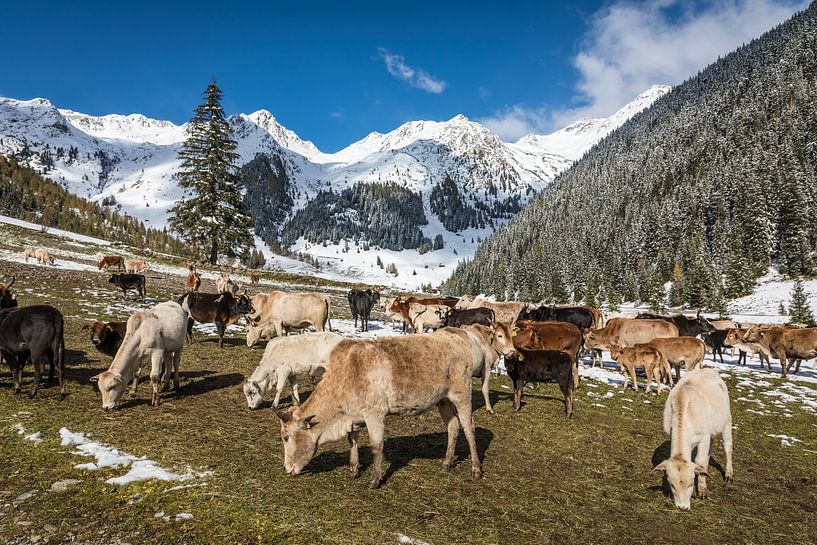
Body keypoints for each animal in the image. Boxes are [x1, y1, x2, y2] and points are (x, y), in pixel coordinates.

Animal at [272, 323, 516, 488]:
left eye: (286, 437)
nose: (286, 468)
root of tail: (458, 337)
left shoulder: (375, 414)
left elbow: (376, 445)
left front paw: (374, 479)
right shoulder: (354, 415)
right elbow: (352, 439)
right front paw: (353, 468)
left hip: (461, 394)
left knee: (468, 426)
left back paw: (476, 469)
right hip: (443, 400)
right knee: (453, 427)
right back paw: (446, 463)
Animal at [653, 368, 733, 510]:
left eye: (691, 484)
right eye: (672, 485)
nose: (682, 507)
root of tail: (707, 369)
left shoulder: (704, 436)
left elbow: (700, 462)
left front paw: (702, 491)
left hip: (727, 421)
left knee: (727, 447)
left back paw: (729, 474)